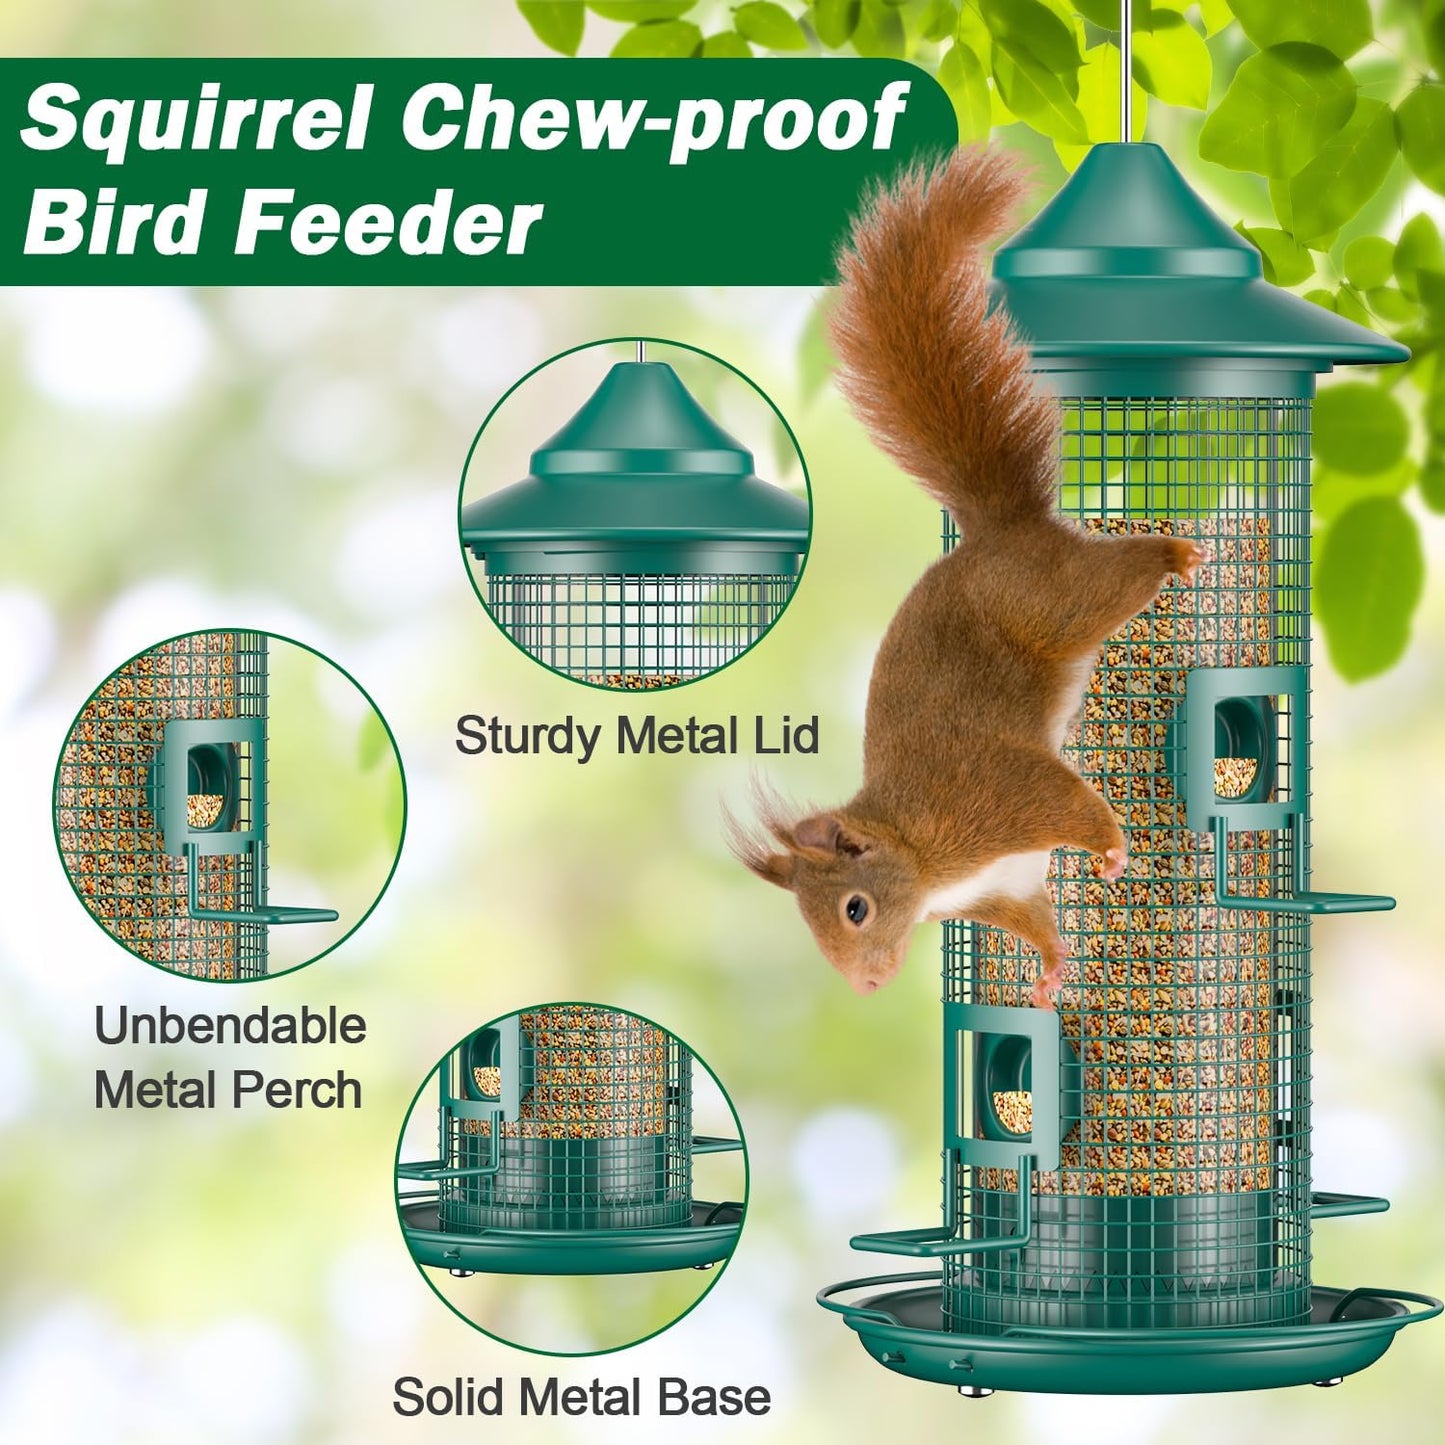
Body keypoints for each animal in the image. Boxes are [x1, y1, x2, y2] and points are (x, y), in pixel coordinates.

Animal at [729, 148, 1205, 1008]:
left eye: (853, 907)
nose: (867, 986)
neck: (924, 859)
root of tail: (997, 530)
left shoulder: (995, 794)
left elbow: (1067, 799)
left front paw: (1113, 847)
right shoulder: (1005, 884)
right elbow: (1034, 919)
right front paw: (1049, 973)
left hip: (1059, 602)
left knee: (1112, 579)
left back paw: (1173, 555)